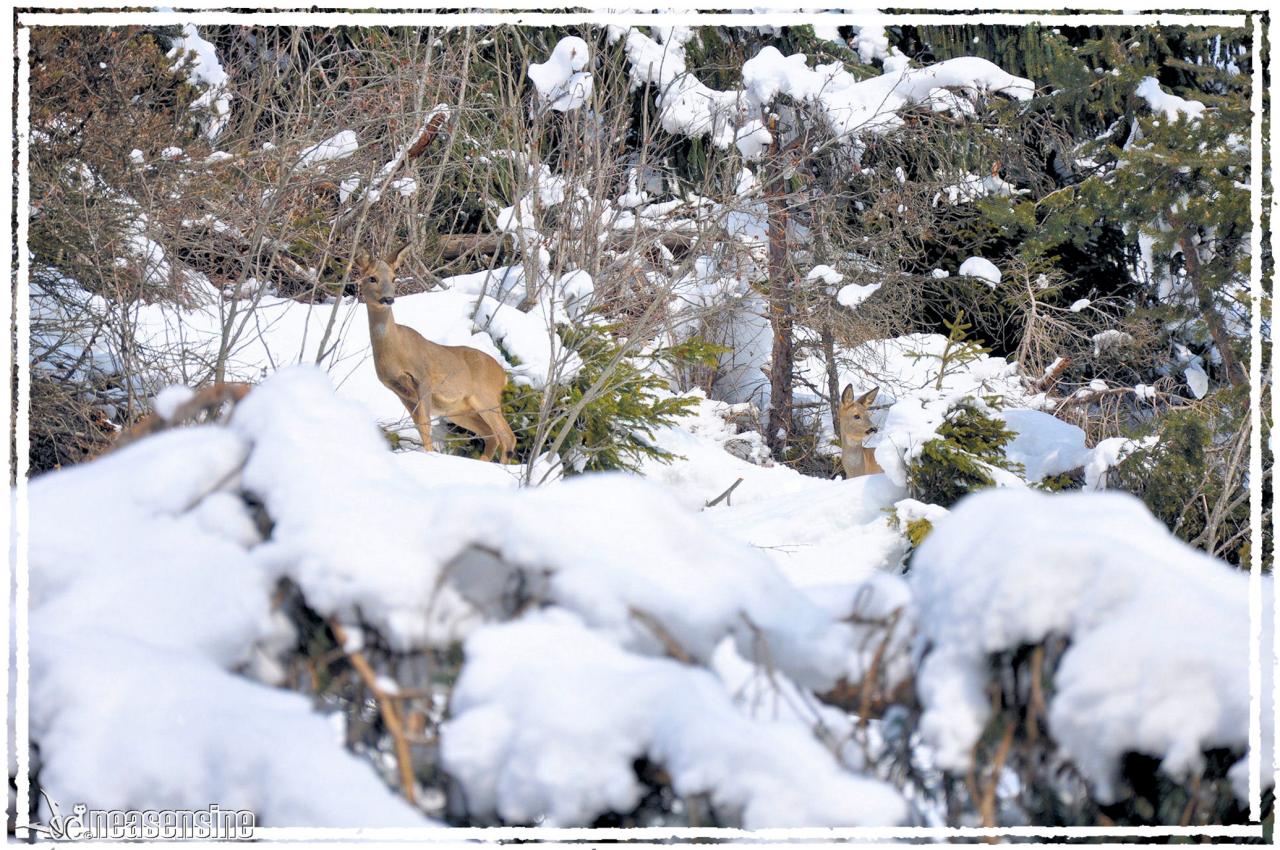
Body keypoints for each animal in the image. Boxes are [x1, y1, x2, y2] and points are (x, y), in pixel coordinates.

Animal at [353, 241, 517, 460]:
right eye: (372, 278)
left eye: (394, 277)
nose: (388, 299)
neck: (395, 351)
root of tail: (503, 375)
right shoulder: (401, 392)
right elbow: (420, 427)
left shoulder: (423, 378)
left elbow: (425, 424)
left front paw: (430, 455)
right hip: (459, 410)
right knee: (492, 436)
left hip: (486, 396)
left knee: (507, 436)